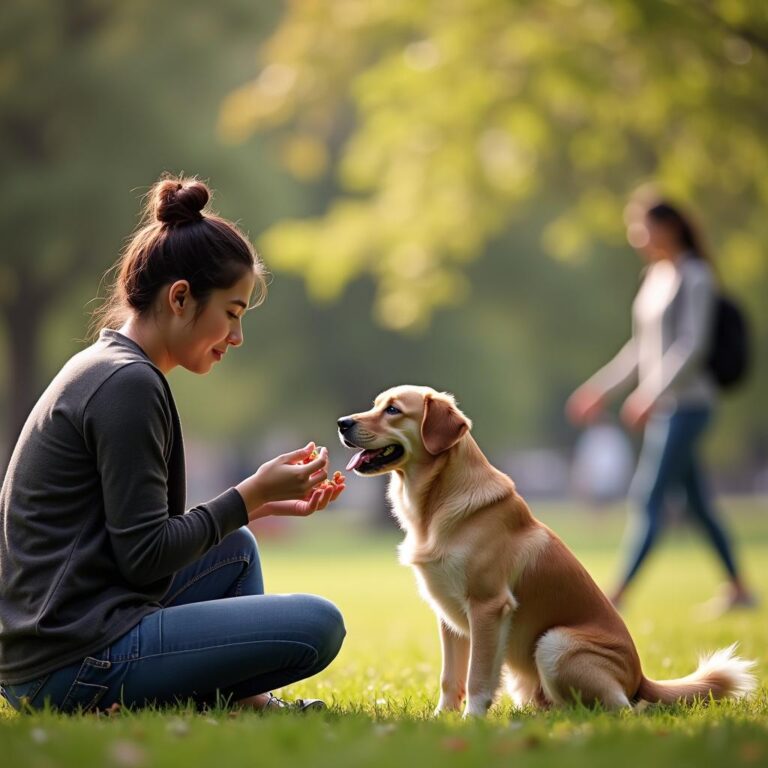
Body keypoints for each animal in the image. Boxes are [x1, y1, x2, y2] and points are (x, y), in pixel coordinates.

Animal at [338, 388, 756, 716]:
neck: (434, 505)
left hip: (556, 643)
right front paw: (442, 719)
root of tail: (641, 677)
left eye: (394, 410)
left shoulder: (488, 607)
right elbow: (449, 678)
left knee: (621, 709)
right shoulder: (448, 616)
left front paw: (472, 722)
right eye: (376, 405)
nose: (342, 422)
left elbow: (477, 678)